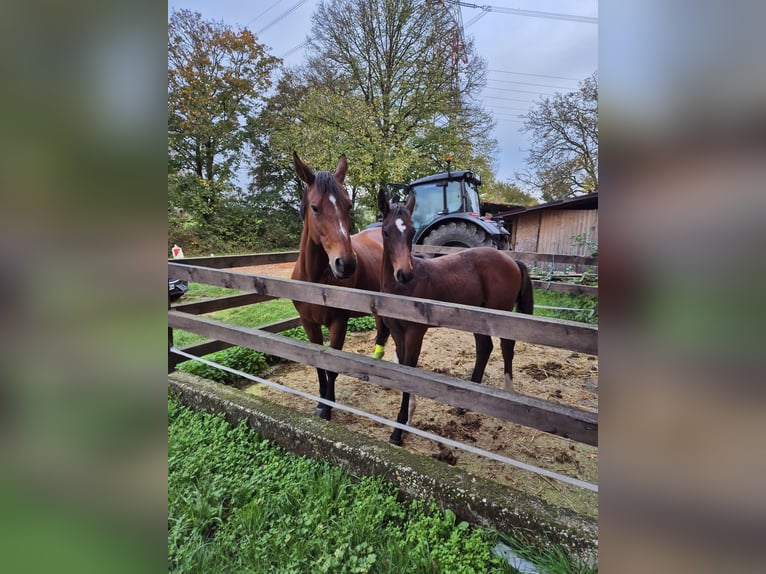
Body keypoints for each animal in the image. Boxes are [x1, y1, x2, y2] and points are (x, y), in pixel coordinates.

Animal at [291, 152, 389, 421]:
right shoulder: (309, 324)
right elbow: (319, 364)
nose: (346, 264)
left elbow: (333, 367)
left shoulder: (338, 323)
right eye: (315, 207)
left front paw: (327, 407)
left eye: (348, 206)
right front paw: (321, 402)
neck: (316, 281)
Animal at [377, 190, 534, 445]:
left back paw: (508, 393)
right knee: (485, 347)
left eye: (411, 231)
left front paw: (398, 431)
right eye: (386, 231)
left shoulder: (415, 333)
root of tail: (511, 260)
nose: (404, 273)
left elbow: (410, 368)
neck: (403, 289)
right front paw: (406, 419)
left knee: (506, 345)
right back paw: (465, 405)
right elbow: (403, 368)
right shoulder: (398, 333)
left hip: (499, 313)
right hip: (478, 315)